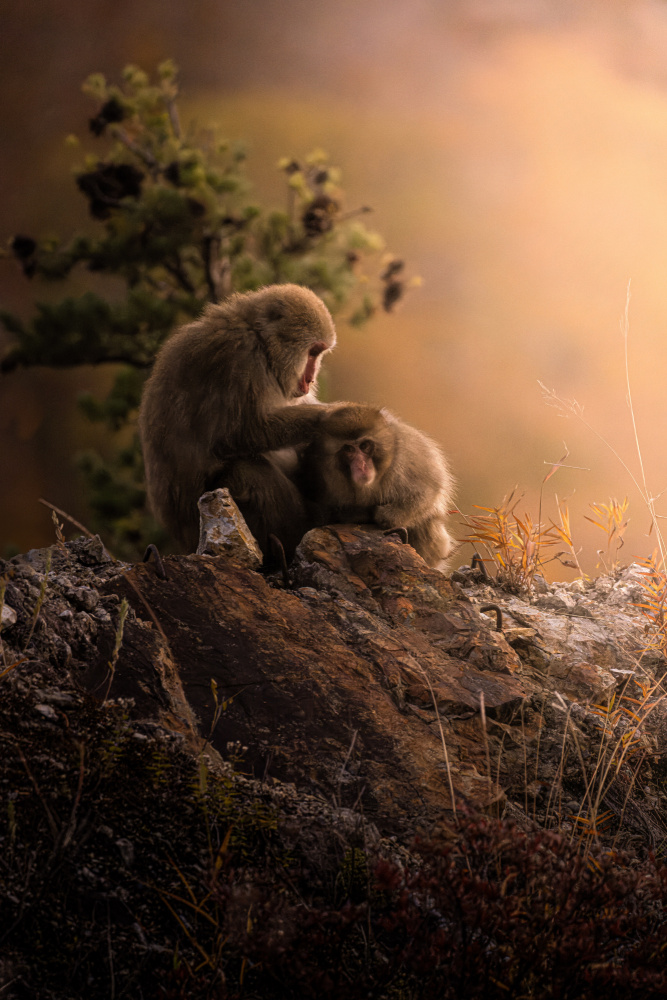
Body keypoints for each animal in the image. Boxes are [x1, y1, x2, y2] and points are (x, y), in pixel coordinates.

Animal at [139, 283, 337, 557]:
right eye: (313, 352)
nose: (310, 380)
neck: (260, 341)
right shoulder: (241, 358)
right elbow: (245, 433)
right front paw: (337, 417)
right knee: (245, 472)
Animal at [298, 404, 455, 569]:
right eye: (348, 449)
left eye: (365, 446)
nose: (361, 465)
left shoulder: (407, 454)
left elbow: (429, 489)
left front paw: (387, 516)